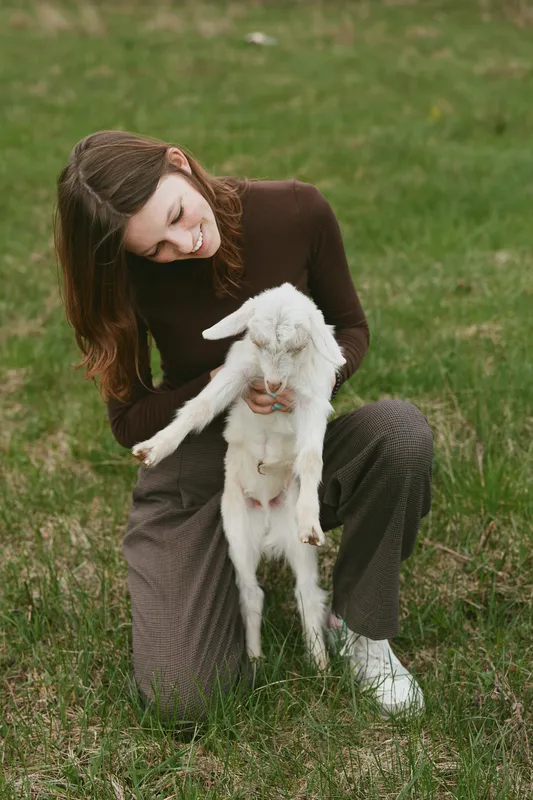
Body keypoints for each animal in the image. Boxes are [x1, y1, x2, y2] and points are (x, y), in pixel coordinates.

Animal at [132, 283, 346, 668]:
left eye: (297, 347)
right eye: (258, 342)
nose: (273, 384)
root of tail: (267, 524)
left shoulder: (312, 401)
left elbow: (310, 457)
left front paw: (311, 518)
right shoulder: (239, 373)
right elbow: (199, 407)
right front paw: (154, 448)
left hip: (294, 545)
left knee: (306, 593)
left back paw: (319, 662)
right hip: (237, 535)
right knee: (251, 592)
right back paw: (255, 657)